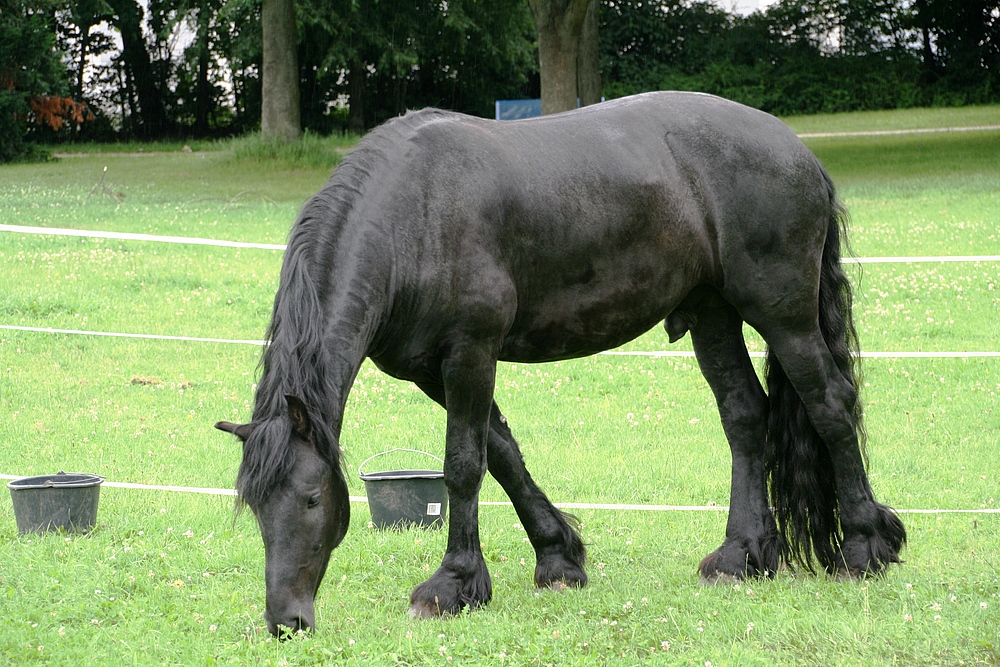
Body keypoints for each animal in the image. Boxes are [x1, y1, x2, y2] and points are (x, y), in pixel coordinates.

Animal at [217, 90, 908, 636]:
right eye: (255, 507)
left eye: (312, 499)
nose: (287, 621)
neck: (415, 214)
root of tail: (799, 151)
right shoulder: (434, 369)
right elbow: (503, 455)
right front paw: (558, 558)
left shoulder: (470, 352)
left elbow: (464, 465)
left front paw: (452, 585)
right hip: (713, 313)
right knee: (745, 417)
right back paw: (741, 554)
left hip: (781, 314)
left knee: (830, 405)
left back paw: (863, 545)